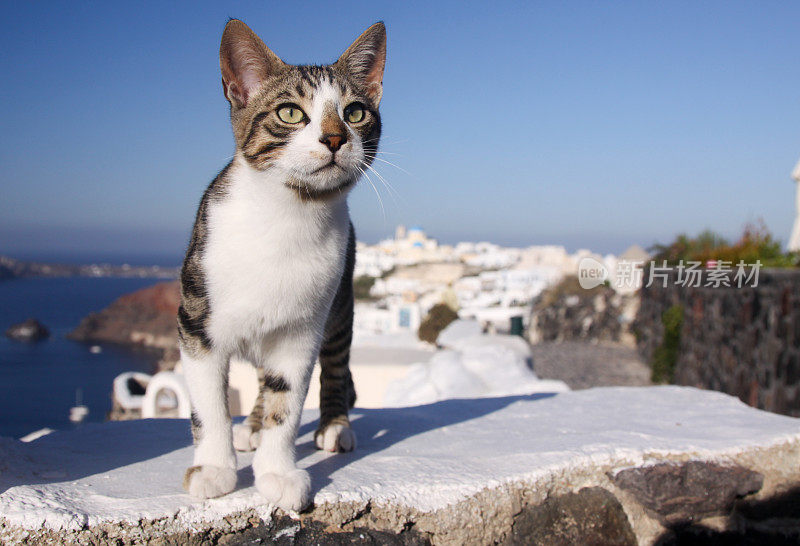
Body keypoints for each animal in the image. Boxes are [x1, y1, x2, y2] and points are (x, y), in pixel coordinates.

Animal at [178, 18, 384, 510]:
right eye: (290, 113)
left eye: (355, 113)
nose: (335, 138)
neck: (287, 216)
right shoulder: (196, 321)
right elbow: (210, 403)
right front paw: (215, 468)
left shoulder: (301, 332)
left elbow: (287, 402)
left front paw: (276, 473)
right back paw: (250, 427)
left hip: (340, 300)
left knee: (334, 364)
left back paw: (334, 426)